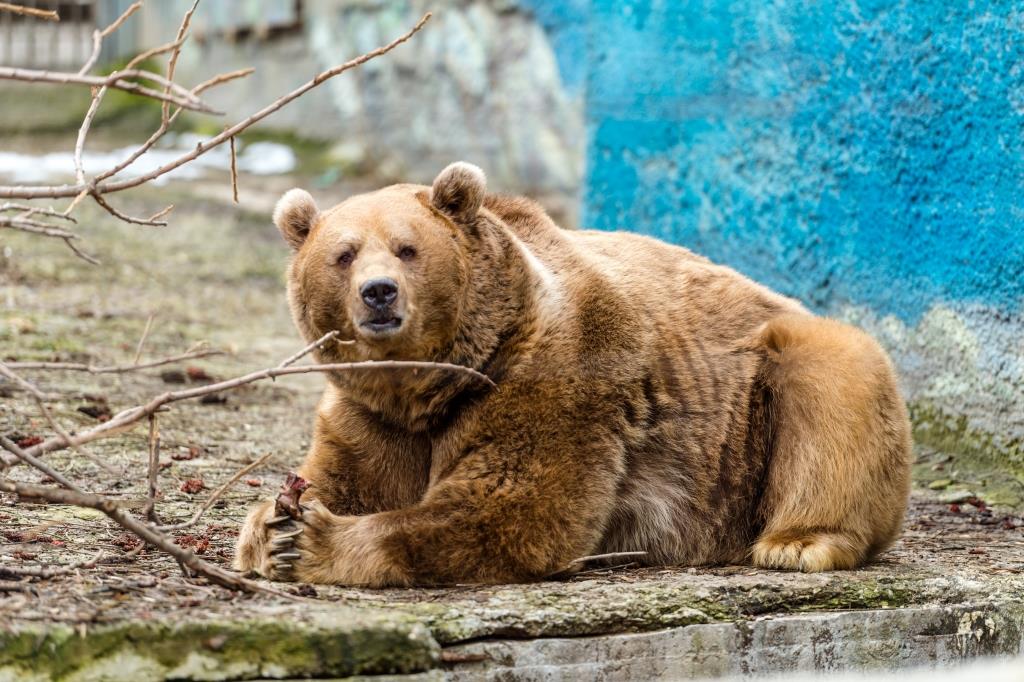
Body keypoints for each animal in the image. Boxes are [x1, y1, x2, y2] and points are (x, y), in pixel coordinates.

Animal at [234, 160, 913, 585]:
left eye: (407, 247)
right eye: (343, 254)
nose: (379, 293)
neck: (435, 383)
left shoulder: (552, 376)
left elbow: (512, 508)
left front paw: (315, 541)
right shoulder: (370, 412)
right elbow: (344, 476)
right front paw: (272, 528)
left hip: (763, 390)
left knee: (835, 379)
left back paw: (798, 542)